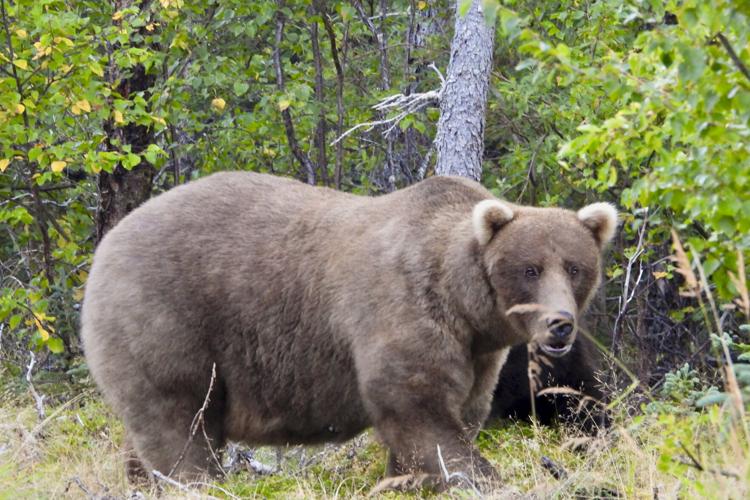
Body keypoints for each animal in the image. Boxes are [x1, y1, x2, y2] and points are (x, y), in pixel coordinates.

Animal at [81, 171, 616, 488]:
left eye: (574, 267)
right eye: (529, 268)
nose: (559, 325)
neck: (464, 304)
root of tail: (106, 243)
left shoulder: (478, 354)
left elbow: (459, 412)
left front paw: (405, 481)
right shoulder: (402, 309)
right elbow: (419, 411)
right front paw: (477, 476)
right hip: (168, 321)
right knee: (180, 426)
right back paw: (194, 482)